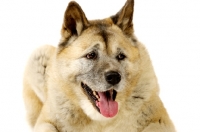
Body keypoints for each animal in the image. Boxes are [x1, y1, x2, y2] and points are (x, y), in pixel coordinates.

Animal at [23, 0, 176, 131]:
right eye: (91, 55)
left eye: (121, 56)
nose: (114, 77)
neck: (101, 120)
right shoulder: (45, 121)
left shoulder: (162, 121)